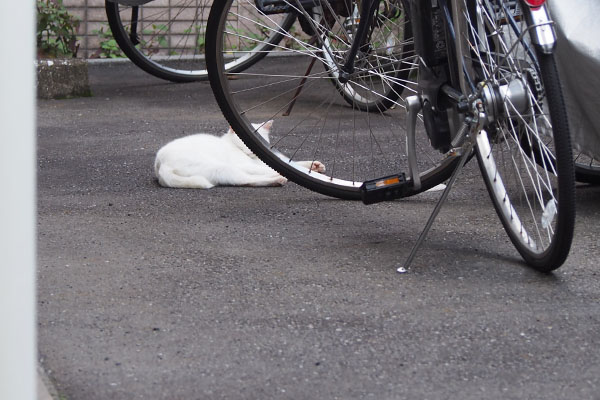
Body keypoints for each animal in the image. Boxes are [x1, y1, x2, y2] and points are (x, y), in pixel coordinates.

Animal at [152, 120, 326, 189]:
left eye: (262, 139)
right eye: (245, 141)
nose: (253, 150)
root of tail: (161, 165)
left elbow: (292, 163)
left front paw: (314, 165)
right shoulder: (250, 165)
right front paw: (320, 177)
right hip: (222, 168)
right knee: (246, 180)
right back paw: (278, 179)